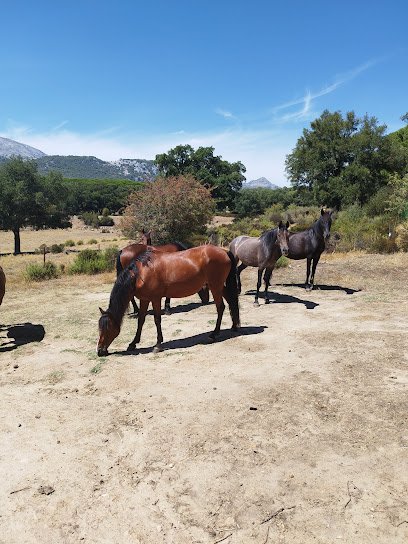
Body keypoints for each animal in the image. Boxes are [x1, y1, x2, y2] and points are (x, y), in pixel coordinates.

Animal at [97, 246, 241, 356]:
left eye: (108, 328)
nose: (100, 351)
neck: (141, 273)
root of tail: (224, 251)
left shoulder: (155, 298)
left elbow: (157, 319)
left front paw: (158, 344)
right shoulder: (145, 299)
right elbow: (141, 320)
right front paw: (133, 343)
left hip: (215, 286)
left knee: (220, 307)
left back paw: (214, 334)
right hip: (219, 286)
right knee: (230, 300)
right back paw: (234, 326)